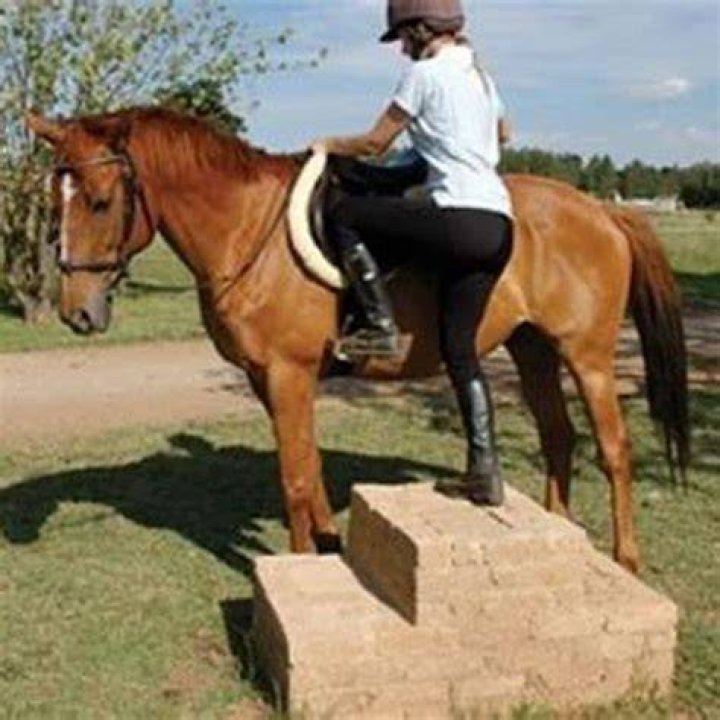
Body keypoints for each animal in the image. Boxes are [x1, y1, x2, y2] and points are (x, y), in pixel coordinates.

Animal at [26, 107, 689, 573]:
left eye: (100, 202)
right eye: (53, 201)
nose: (76, 313)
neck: (249, 229)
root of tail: (601, 211)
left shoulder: (289, 374)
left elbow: (294, 478)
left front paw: (297, 567)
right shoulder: (267, 379)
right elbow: (309, 465)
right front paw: (326, 545)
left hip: (588, 357)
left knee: (614, 450)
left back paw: (625, 558)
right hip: (533, 349)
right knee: (559, 436)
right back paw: (558, 530)